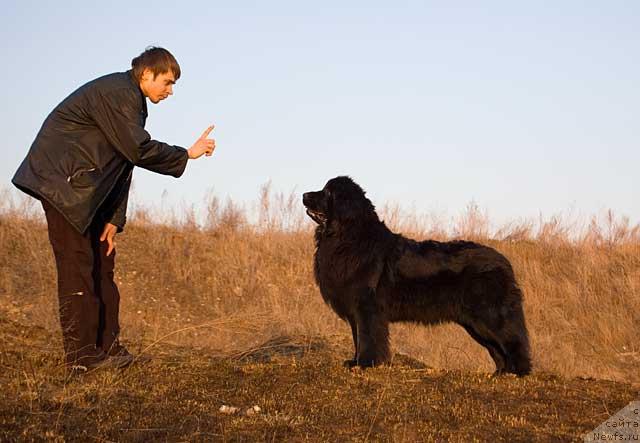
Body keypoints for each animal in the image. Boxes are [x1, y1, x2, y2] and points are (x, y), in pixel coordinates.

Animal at [302, 177, 532, 378]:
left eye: (327, 192)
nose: (304, 194)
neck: (347, 237)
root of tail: (504, 261)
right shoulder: (355, 310)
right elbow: (357, 337)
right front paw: (354, 361)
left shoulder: (367, 307)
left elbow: (367, 337)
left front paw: (367, 363)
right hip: (475, 324)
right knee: (497, 349)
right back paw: (500, 373)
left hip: (491, 316)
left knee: (514, 341)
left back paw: (520, 372)